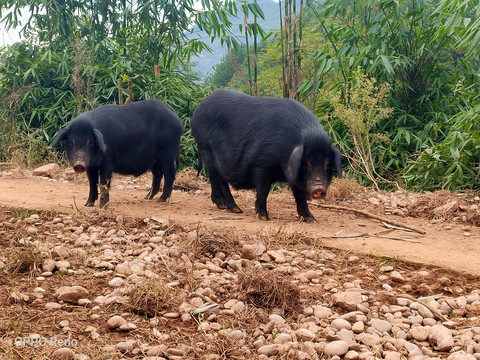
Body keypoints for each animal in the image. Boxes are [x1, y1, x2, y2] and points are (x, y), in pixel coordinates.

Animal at [52, 100, 184, 208]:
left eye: (90, 142)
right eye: (71, 142)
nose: (79, 164)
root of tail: (178, 120)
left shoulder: (108, 163)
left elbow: (104, 183)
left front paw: (102, 207)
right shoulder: (90, 166)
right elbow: (92, 184)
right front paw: (88, 204)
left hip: (168, 152)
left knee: (169, 174)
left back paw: (160, 200)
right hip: (154, 159)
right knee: (157, 174)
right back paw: (147, 198)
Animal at [190, 90, 342, 222]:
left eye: (328, 165)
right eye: (306, 164)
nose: (319, 189)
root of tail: (195, 114)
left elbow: (300, 196)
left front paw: (311, 219)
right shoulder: (262, 165)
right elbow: (263, 190)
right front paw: (264, 217)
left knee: (213, 179)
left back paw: (221, 206)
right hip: (206, 148)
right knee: (221, 181)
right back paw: (236, 209)